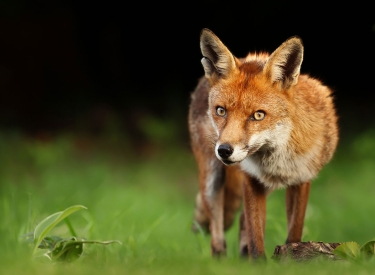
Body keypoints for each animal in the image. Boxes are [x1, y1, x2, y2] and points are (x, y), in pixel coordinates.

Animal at [189, 28, 340, 260]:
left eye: (258, 115)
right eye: (221, 111)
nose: (224, 150)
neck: (279, 156)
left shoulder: (302, 178)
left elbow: (294, 230)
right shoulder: (251, 178)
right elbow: (255, 235)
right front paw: (258, 262)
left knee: (241, 219)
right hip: (212, 178)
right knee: (217, 225)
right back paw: (220, 260)